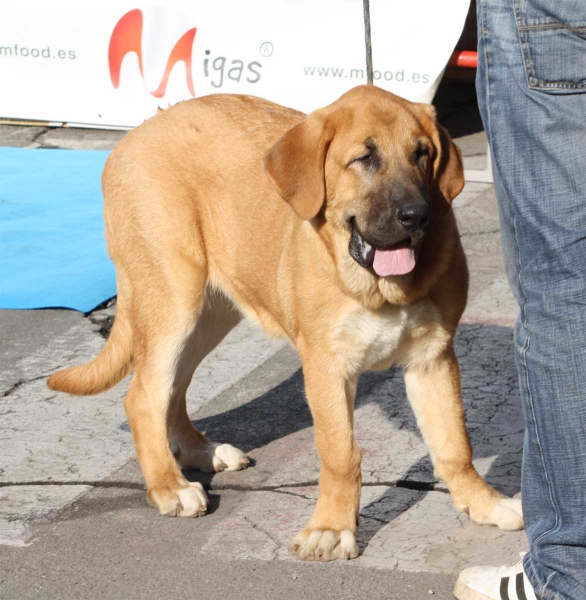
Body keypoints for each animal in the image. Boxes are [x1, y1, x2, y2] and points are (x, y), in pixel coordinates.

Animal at [49, 86, 520, 560]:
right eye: (364, 159)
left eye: (423, 154)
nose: (416, 216)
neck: (377, 288)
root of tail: (137, 132)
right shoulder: (327, 367)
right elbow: (341, 454)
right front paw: (331, 527)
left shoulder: (432, 356)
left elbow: (454, 445)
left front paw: (483, 503)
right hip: (173, 297)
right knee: (144, 395)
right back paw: (170, 486)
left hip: (212, 310)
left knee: (172, 387)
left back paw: (200, 450)